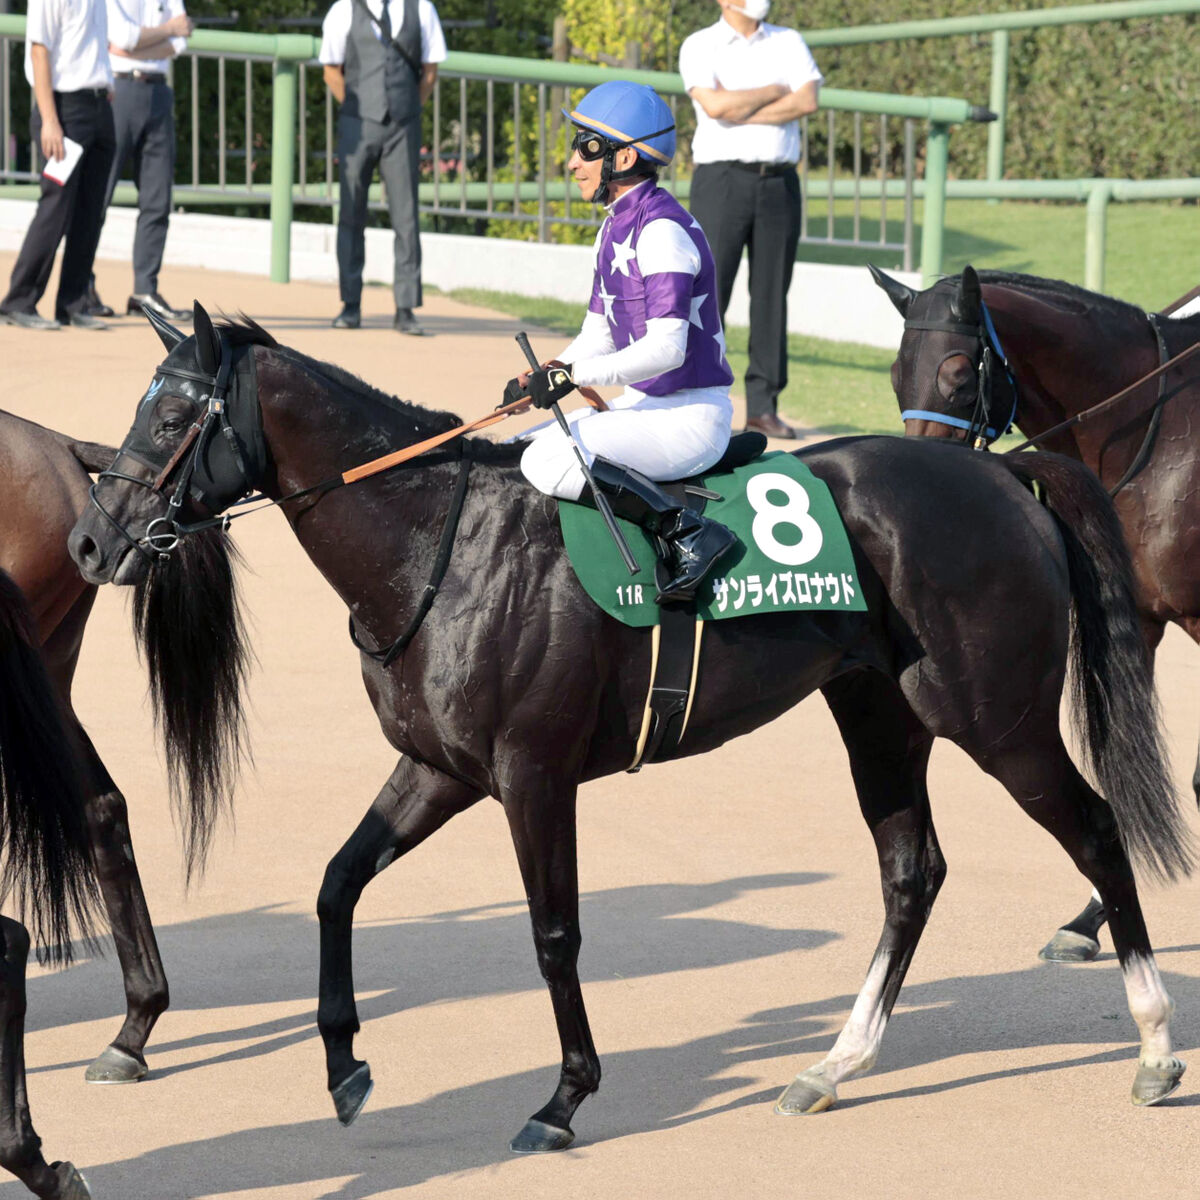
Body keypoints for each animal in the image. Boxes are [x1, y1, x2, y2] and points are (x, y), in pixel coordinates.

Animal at [873, 265, 1200, 964]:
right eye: (894, 374)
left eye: (958, 374)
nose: (919, 476)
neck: (1155, 429)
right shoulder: (1139, 619)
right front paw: (1089, 918)